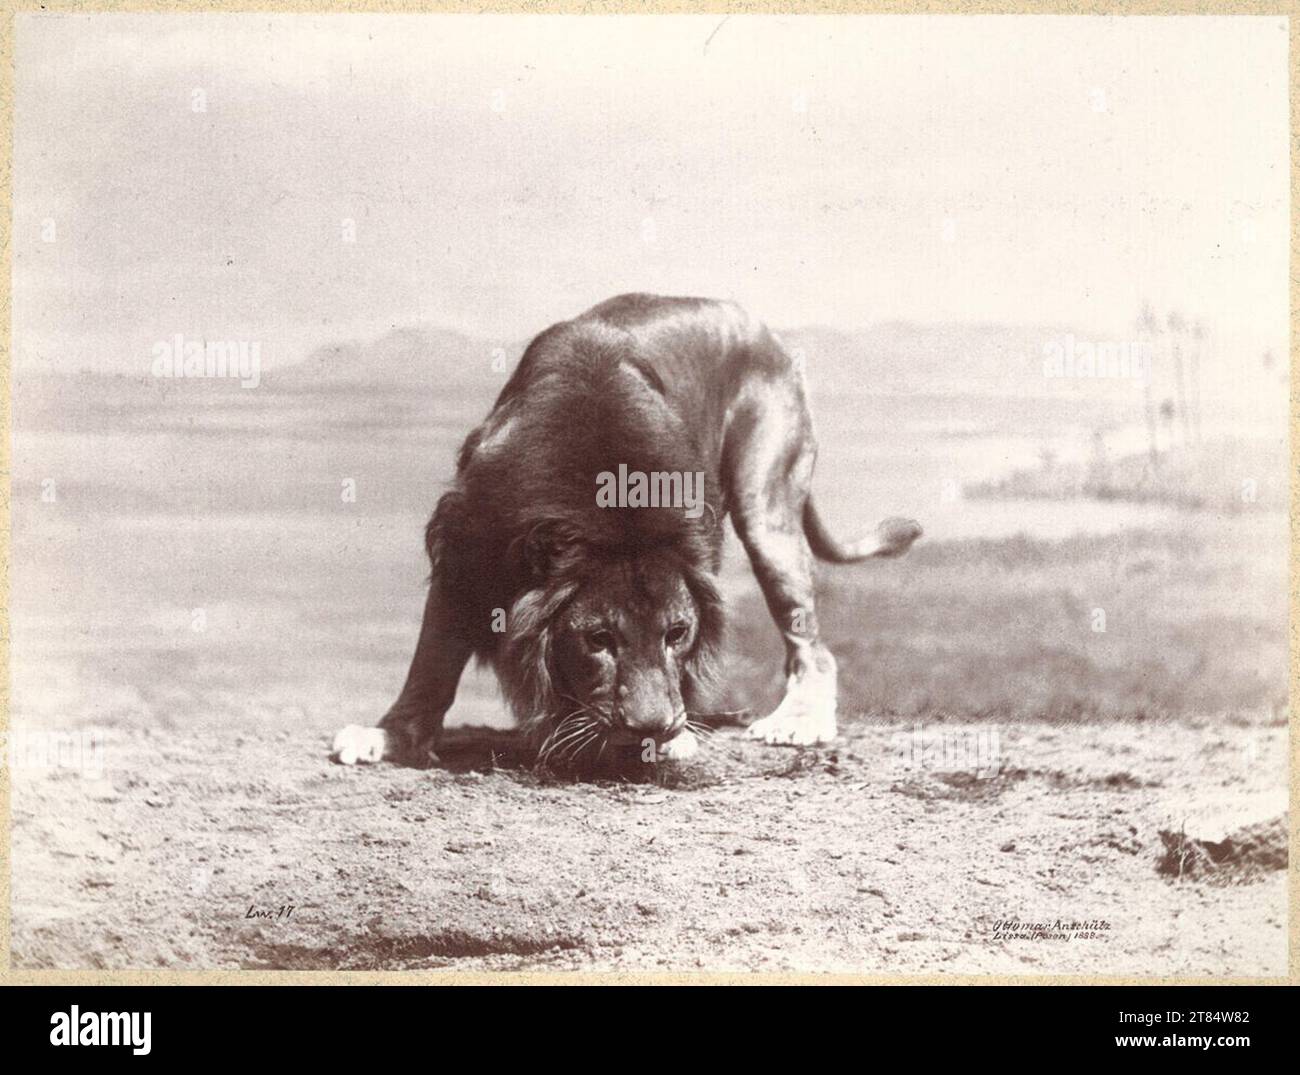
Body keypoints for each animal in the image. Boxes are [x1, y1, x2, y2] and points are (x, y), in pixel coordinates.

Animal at [332, 294, 921, 768]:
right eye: (598, 640)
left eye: (677, 633)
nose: (652, 729)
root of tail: (765, 331)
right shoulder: (462, 549)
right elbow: (431, 660)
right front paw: (390, 737)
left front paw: (679, 737)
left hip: (766, 506)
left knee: (811, 643)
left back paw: (798, 722)